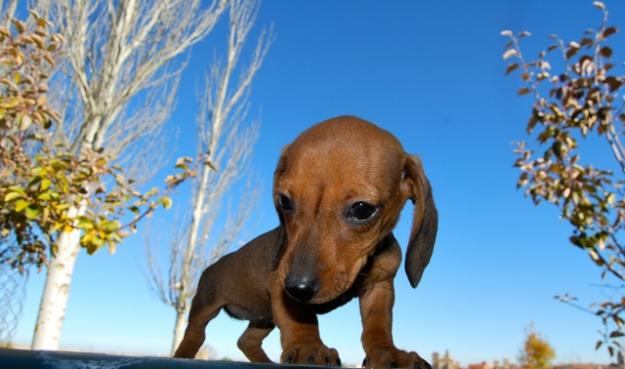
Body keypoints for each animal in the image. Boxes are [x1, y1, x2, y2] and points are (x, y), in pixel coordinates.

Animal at [173, 115, 436, 368]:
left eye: (362, 210)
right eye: (285, 201)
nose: (296, 287)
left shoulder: (379, 287)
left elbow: (377, 327)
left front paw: (388, 352)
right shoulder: (280, 284)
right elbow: (301, 318)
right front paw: (308, 347)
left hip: (263, 318)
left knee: (246, 340)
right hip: (205, 305)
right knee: (195, 334)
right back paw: (183, 354)